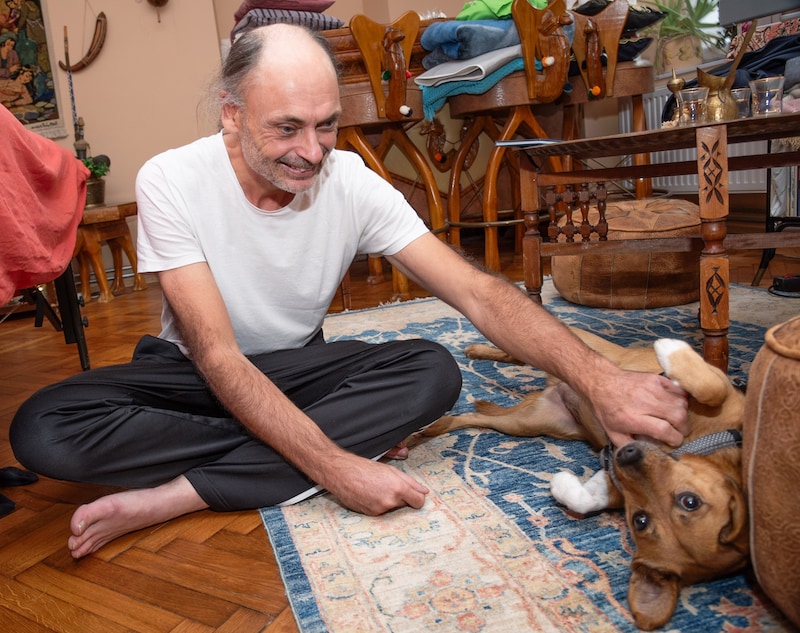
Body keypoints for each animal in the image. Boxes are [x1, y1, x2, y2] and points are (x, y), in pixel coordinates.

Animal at [424, 328, 752, 628]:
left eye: (640, 521)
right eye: (690, 501)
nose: (626, 454)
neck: (706, 443)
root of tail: (551, 387)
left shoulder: (617, 483)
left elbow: (587, 499)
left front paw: (562, 486)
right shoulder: (717, 391)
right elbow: (712, 387)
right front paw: (671, 350)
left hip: (525, 423)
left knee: (471, 417)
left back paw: (430, 429)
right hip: (575, 342)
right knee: (516, 351)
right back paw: (476, 350)